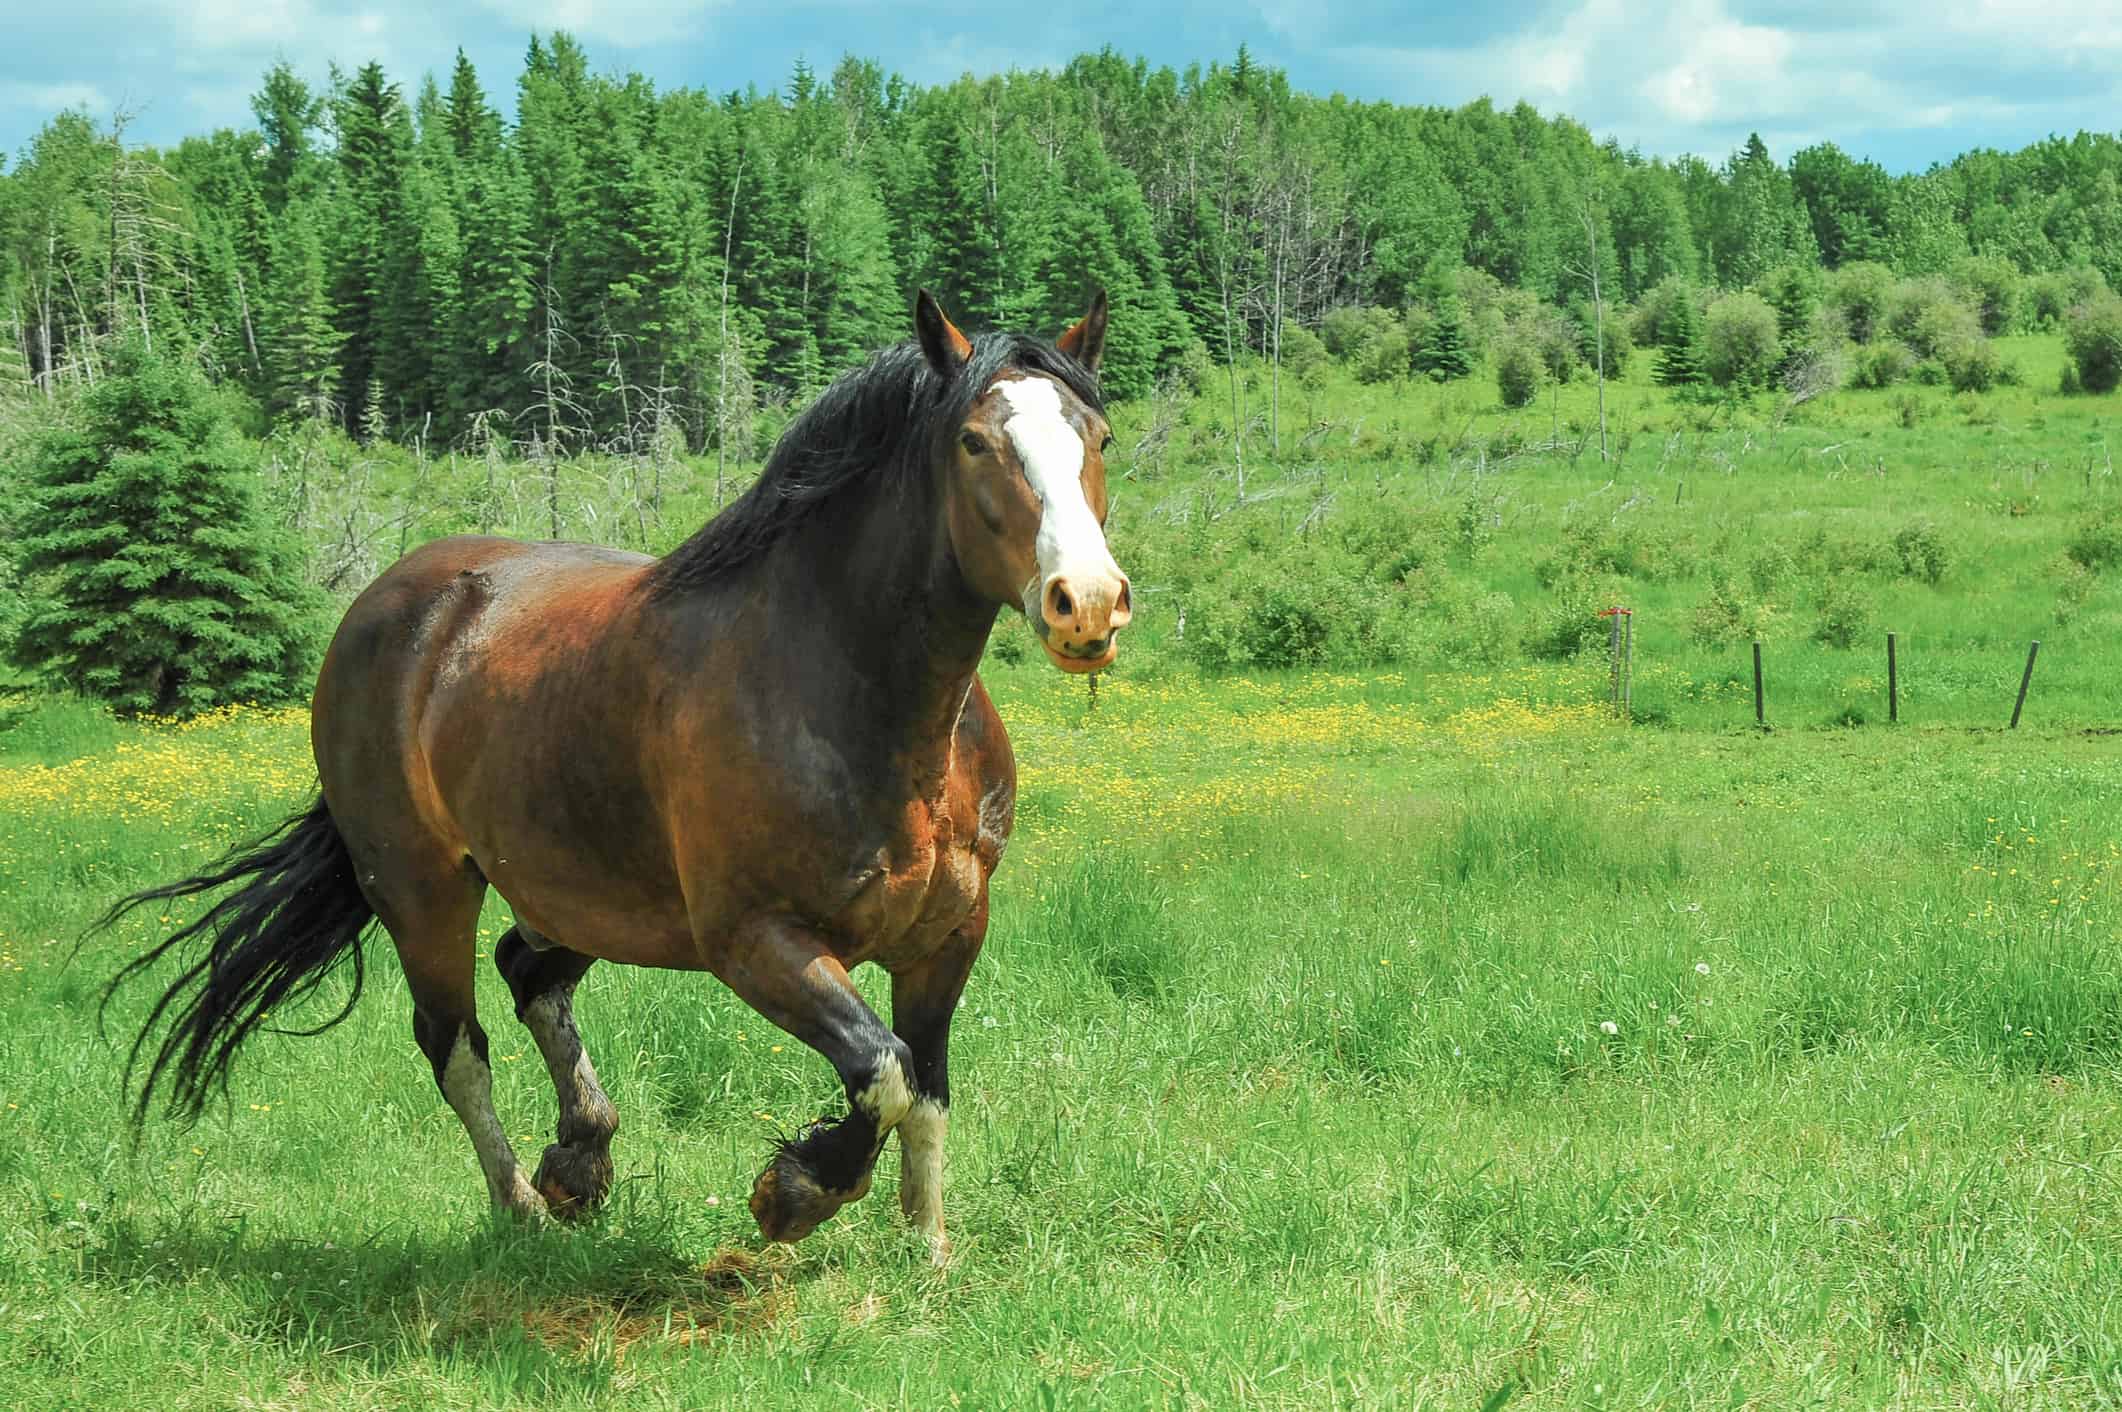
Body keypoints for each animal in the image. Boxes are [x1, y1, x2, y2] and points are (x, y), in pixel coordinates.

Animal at [99, 290, 1131, 1261]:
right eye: (973, 442)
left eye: (1099, 436)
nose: (1086, 604)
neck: (849, 693)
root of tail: (388, 603)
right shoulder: (756, 941)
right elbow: (882, 1072)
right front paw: (793, 1194)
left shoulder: (950, 934)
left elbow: (927, 1085)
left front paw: (927, 1249)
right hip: (424, 890)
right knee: (456, 1046)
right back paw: (522, 1205)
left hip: (580, 893)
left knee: (527, 976)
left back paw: (581, 1160)